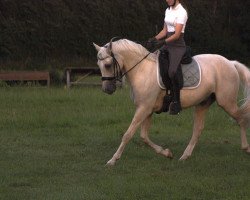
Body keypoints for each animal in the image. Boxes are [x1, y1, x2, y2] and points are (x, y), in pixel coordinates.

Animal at [94, 38, 250, 166]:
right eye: (99, 65)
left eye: (107, 65)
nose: (107, 89)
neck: (142, 70)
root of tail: (230, 63)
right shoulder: (147, 110)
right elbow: (144, 136)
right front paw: (167, 153)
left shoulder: (143, 109)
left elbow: (128, 134)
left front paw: (113, 160)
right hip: (203, 104)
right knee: (198, 129)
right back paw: (185, 156)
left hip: (226, 102)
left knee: (241, 119)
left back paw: (246, 147)